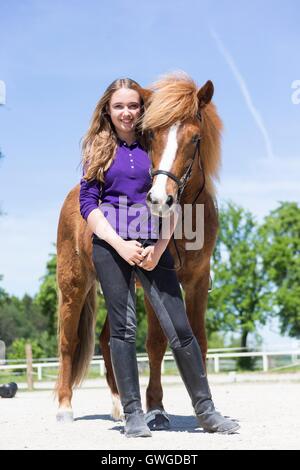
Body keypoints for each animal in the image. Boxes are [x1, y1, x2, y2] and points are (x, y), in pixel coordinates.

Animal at [55, 72, 223, 426]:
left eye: (195, 138)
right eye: (152, 135)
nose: (159, 199)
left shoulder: (198, 281)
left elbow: (199, 339)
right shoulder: (154, 277)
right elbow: (156, 342)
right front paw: (156, 407)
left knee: (107, 339)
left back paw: (120, 406)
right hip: (74, 285)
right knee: (68, 340)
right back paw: (64, 408)